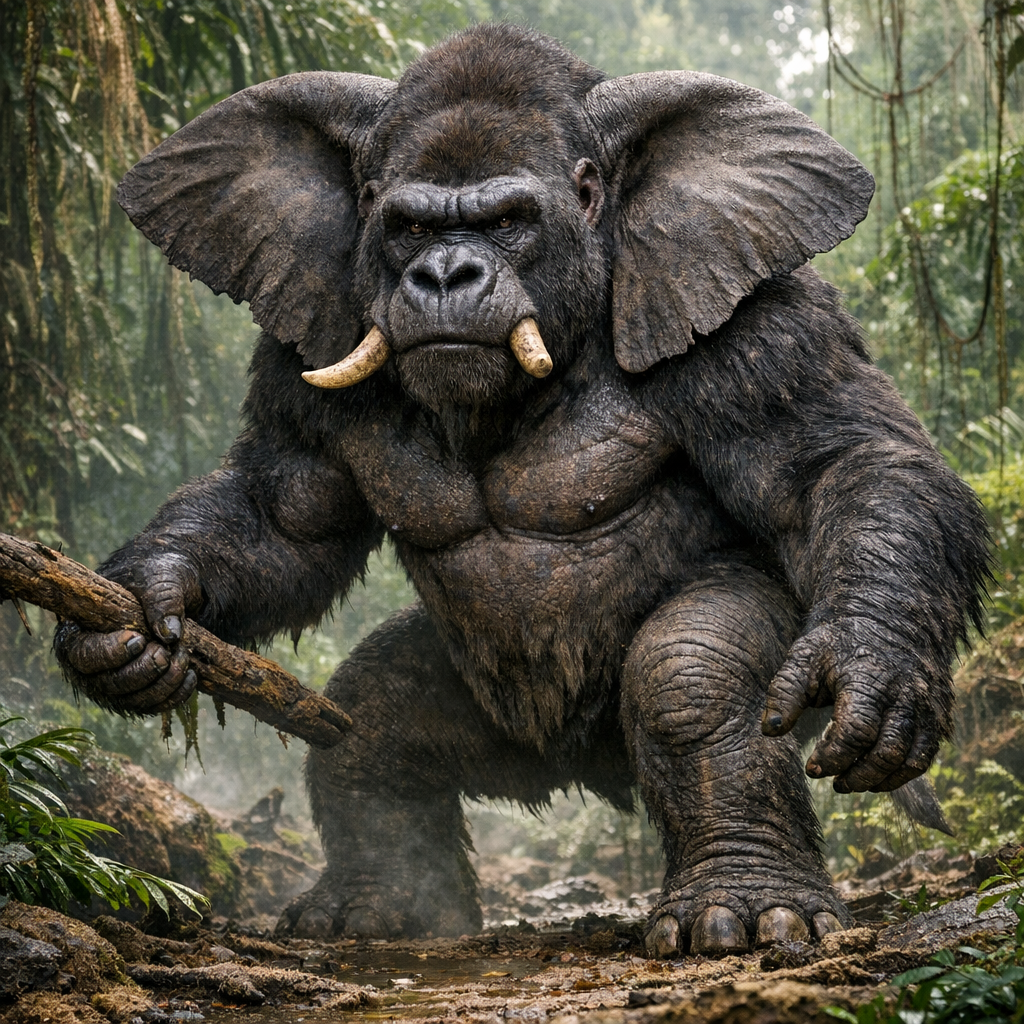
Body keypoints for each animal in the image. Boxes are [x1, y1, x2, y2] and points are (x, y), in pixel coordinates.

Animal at [56, 23, 990, 956]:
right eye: (406, 225)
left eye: (508, 221)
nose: (444, 275)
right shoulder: (305, 335)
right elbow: (284, 516)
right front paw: (141, 609)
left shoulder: (759, 316)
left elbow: (838, 466)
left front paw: (874, 666)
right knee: (370, 718)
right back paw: (383, 903)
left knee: (691, 679)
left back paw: (745, 902)